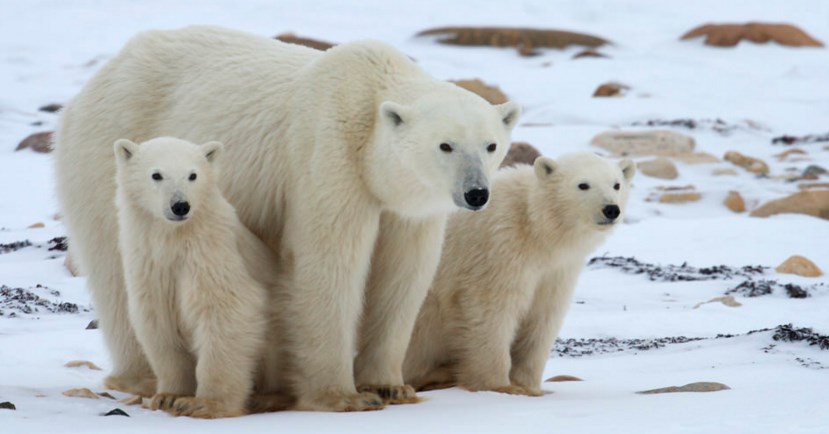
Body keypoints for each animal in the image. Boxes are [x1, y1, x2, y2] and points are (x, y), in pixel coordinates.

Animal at [55, 25, 516, 412]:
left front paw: (389, 386)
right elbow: (327, 264)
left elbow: (403, 275)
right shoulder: (327, 154)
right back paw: (146, 378)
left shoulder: (406, 206)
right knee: (116, 268)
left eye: (491, 144)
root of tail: (104, 72)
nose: (476, 193)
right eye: (445, 145)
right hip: (110, 154)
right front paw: (343, 396)